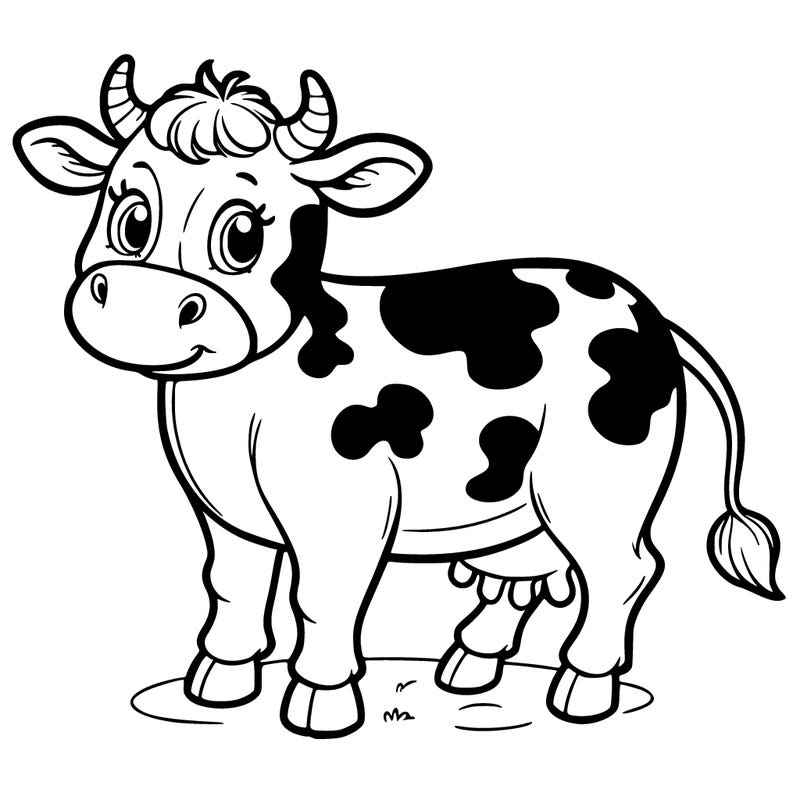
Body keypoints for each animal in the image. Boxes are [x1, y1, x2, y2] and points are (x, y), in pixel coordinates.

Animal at [14, 56, 783, 738]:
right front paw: (219, 684)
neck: (233, 405)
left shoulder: (345, 506)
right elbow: (231, 586)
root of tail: (648, 312)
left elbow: (322, 598)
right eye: (130, 215)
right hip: (518, 495)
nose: (141, 309)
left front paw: (320, 704)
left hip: (600, 481)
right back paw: (469, 665)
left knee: (623, 570)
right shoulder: (225, 511)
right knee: (525, 571)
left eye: (242, 234)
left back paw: (582, 689)